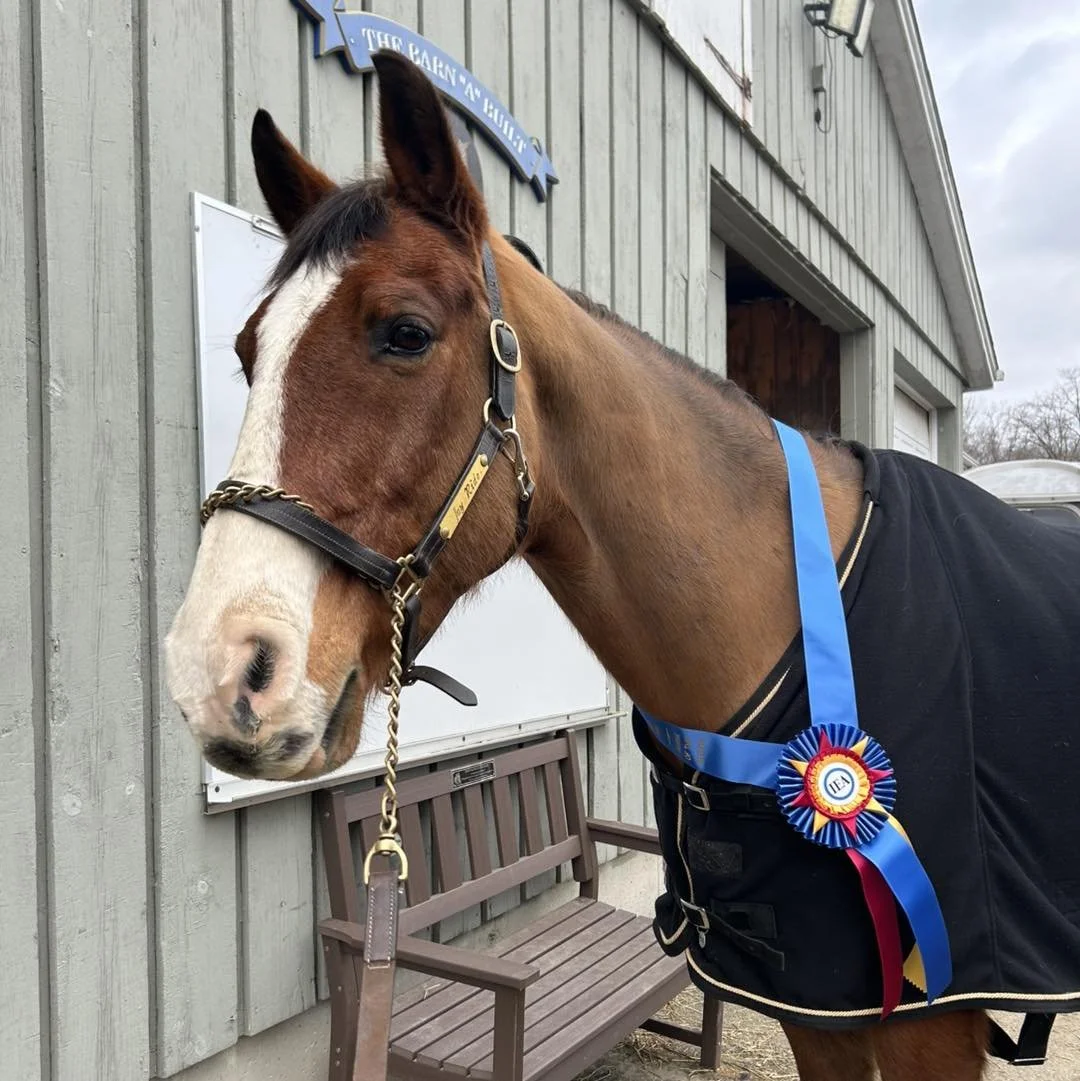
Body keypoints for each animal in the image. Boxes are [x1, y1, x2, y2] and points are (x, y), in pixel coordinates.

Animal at [165, 49, 1080, 1080]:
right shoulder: (818, 1005)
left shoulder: (937, 1020)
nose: (218, 672)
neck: (814, 631)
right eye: (248, 352)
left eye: (405, 332)